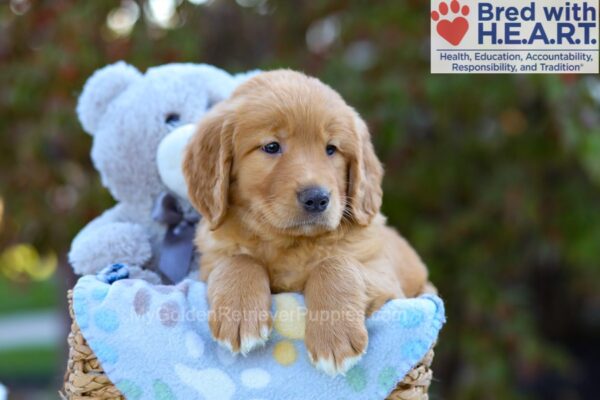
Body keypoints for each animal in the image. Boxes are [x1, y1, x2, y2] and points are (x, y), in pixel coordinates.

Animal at [183, 69, 426, 376]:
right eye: (272, 146)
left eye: (331, 149)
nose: (317, 198)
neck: (288, 243)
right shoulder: (209, 264)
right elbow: (239, 259)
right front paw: (239, 315)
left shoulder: (385, 278)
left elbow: (333, 264)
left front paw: (334, 337)